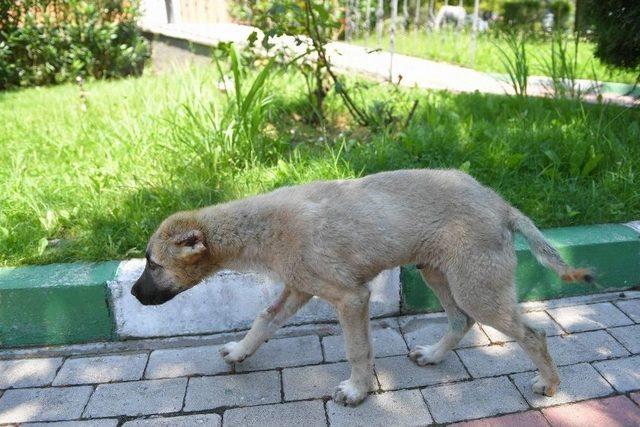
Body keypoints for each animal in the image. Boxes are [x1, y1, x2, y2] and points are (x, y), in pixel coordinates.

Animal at [131, 169, 596, 406]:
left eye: (153, 263)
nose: (134, 295)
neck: (260, 230)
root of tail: (501, 204)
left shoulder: (350, 297)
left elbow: (358, 350)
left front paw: (358, 390)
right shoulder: (298, 288)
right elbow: (263, 320)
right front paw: (240, 351)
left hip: (478, 289)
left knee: (532, 335)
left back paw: (549, 385)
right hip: (437, 273)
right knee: (460, 322)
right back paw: (434, 355)